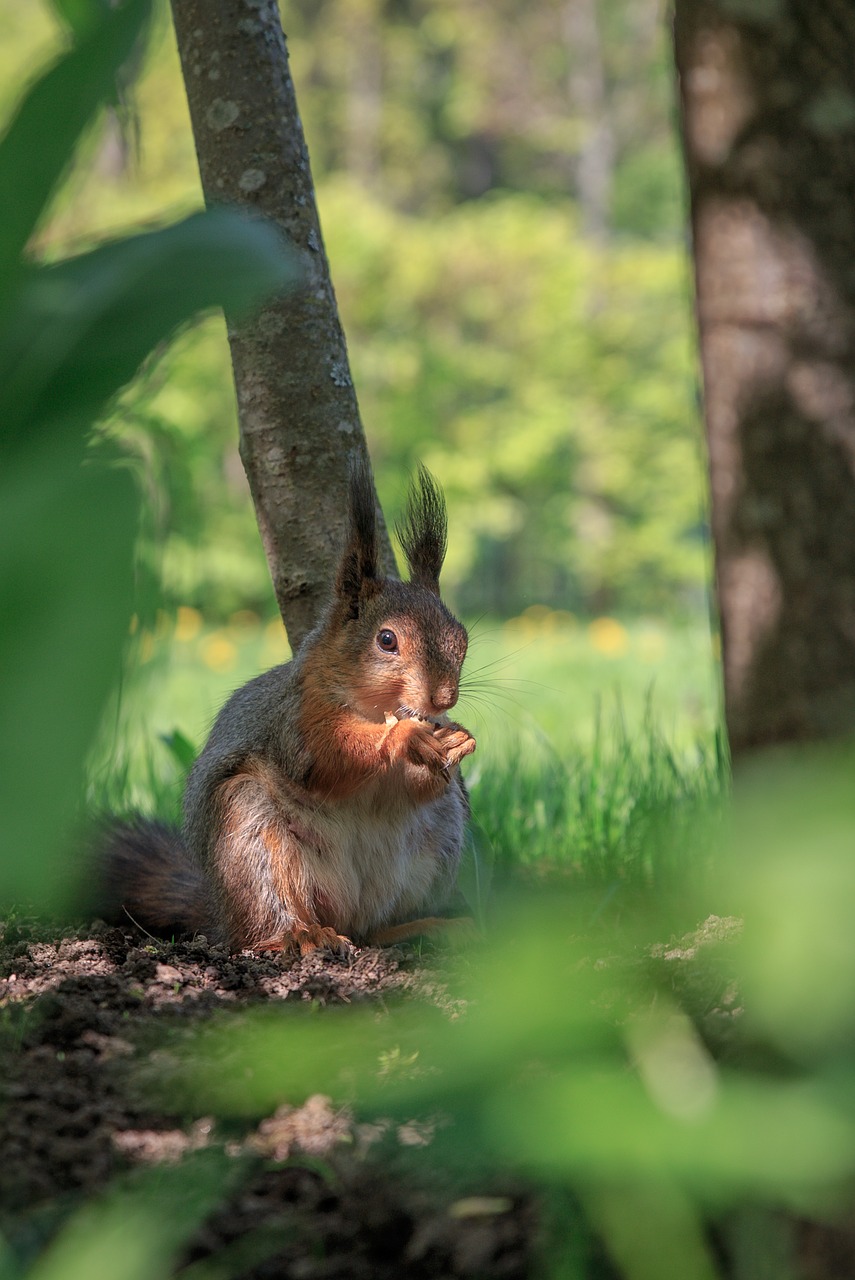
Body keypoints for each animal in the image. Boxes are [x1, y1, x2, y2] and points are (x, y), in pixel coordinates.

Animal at [98, 458, 481, 952]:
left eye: (462, 637)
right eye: (387, 639)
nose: (443, 698)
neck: (372, 708)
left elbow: (418, 787)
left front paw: (458, 740)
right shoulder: (297, 720)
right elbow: (329, 755)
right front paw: (405, 736)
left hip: (438, 840)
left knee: (376, 929)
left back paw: (427, 927)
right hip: (248, 834)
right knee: (267, 919)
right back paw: (300, 934)